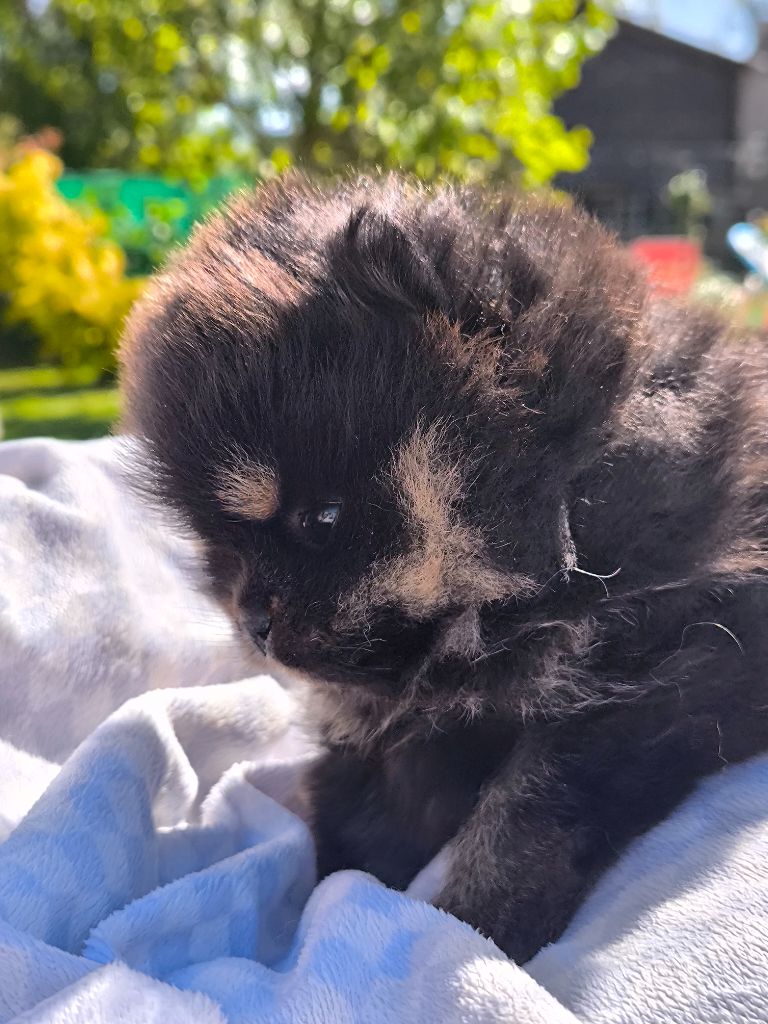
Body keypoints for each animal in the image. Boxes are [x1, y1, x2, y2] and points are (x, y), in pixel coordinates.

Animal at [119, 174, 768, 962]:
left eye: (323, 520)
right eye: (221, 552)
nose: (254, 622)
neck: (570, 490)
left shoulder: (663, 662)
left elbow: (531, 809)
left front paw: (480, 921)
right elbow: (374, 802)